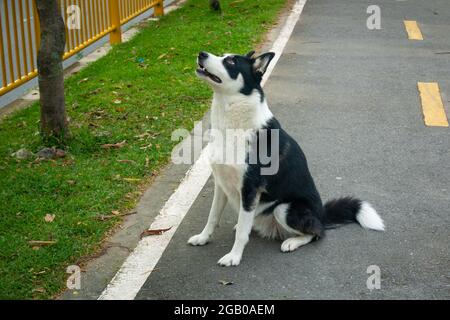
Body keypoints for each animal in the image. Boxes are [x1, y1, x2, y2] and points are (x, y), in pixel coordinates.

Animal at [188, 50, 384, 266]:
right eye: (222, 55)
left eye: (231, 61)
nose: (201, 53)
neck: (234, 124)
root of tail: (322, 215)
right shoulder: (221, 183)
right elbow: (212, 216)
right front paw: (203, 238)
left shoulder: (250, 188)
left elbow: (241, 234)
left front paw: (234, 256)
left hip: (283, 209)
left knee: (316, 233)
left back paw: (292, 242)